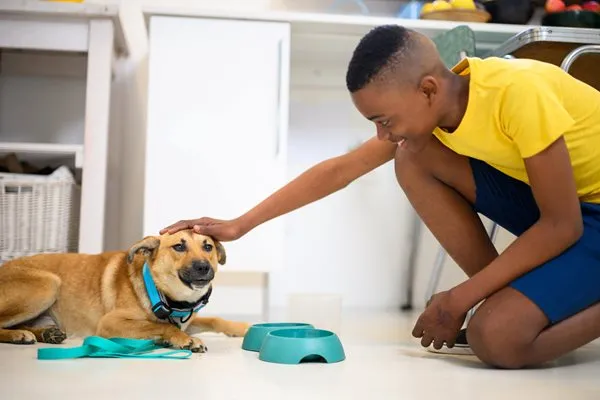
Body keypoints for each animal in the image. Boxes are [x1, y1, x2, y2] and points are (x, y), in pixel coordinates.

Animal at [0, 230, 250, 352]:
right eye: (179, 246)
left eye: (208, 246)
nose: (203, 267)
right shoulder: (110, 322)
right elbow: (162, 326)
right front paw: (182, 339)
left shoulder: (189, 320)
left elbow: (215, 319)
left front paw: (243, 328)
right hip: (49, 284)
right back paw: (18, 336)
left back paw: (46, 334)